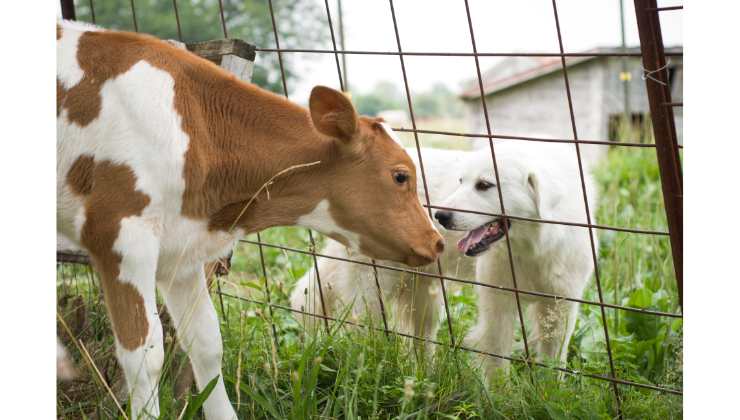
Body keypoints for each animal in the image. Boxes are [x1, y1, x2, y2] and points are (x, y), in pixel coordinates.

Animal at [57, 21, 442, 418]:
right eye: (401, 175)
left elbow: (207, 343)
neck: (193, 127)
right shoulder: (120, 237)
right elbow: (144, 356)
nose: (437, 240)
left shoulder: (182, 252)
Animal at [290, 142, 596, 378]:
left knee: (419, 341)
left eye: (485, 185)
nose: (440, 216)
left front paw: (548, 393)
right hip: (373, 287)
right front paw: (500, 399)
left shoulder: (561, 306)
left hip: (424, 296)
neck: (533, 246)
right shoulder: (498, 302)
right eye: (461, 181)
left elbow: (555, 361)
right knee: (365, 329)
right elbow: (497, 358)